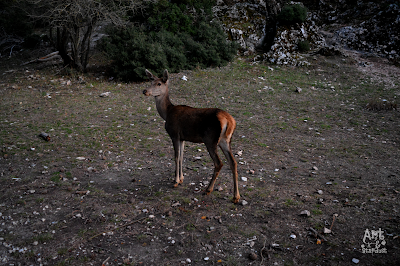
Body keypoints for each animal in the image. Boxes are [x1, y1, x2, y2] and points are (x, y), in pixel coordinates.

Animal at [142, 69, 239, 204]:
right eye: (150, 81)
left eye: (159, 83)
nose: (145, 91)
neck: (167, 113)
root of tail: (229, 121)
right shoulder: (182, 138)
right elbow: (182, 157)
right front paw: (181, 178)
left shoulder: (174, 134)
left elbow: (176, 157)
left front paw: (176, 181)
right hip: (225, 140)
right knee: (233, 162)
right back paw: (236, 196)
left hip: (210, 139)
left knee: (219, 163)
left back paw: (208, 189)